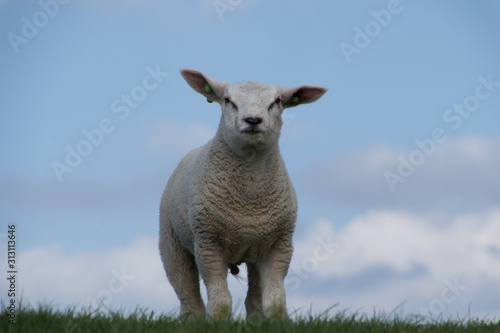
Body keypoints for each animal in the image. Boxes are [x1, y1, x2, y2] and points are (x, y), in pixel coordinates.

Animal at [158, 68, 326, 320]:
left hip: (256, 250)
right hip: (172, 243)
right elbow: (220, 302)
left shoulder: (280, 244)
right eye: (228, 100)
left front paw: (277, 322)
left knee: (253, 298)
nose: (253, 120)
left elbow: (275, 301)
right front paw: (217, 322)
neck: (248, 199)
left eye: (277, 101)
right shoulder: (208, 243)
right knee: (188, 296)